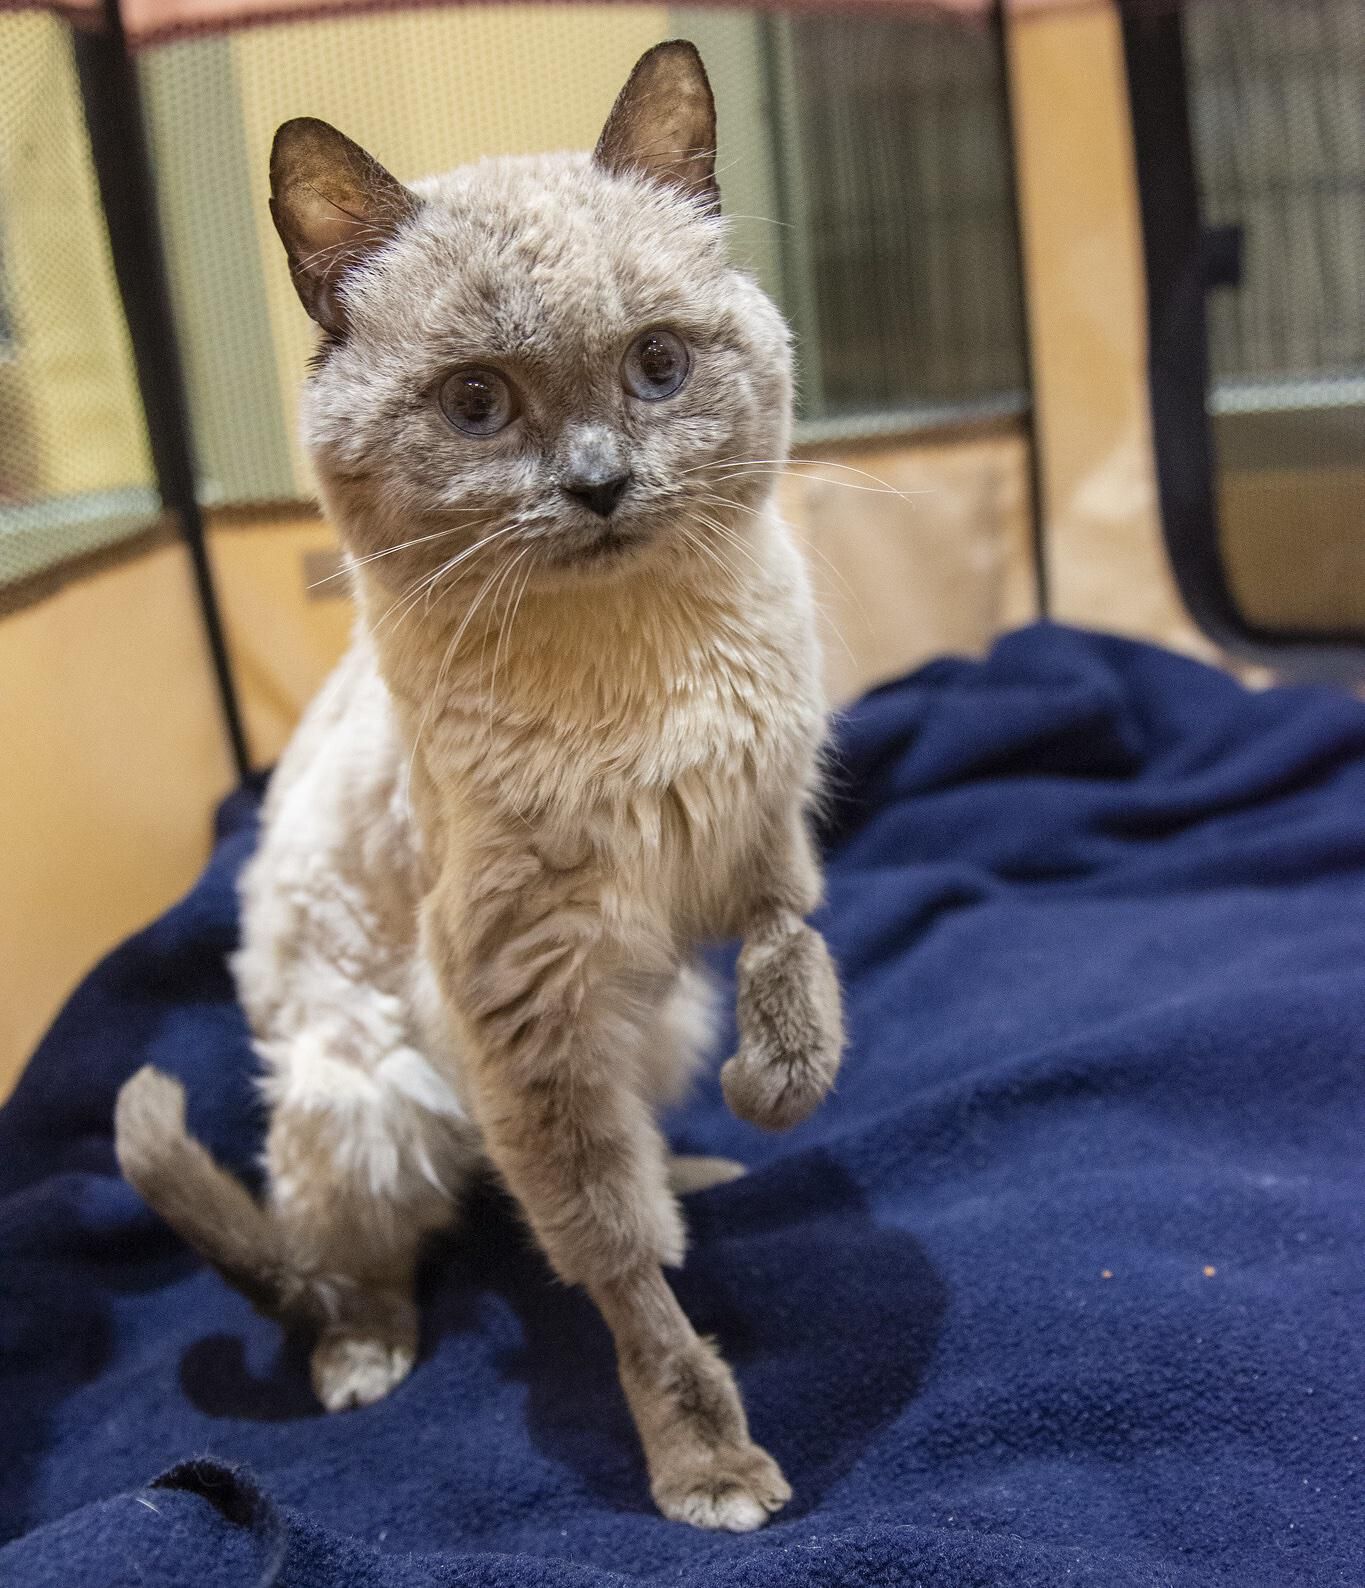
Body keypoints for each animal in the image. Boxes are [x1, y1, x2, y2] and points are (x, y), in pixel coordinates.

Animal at [117, 43, 844, 1530]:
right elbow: (620, 1271)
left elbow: (793, 980)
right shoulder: (527, 994)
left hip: (649, 1016)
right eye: (476, 403)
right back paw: (366, 1360)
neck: (643, 671)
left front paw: (765, 1098)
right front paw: (708, 1468)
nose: (601, 484)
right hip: (368, 1097)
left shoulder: (757, 842)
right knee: (367, 1260)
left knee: (587, 1160)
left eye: (657, 367)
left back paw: (700, 1168)